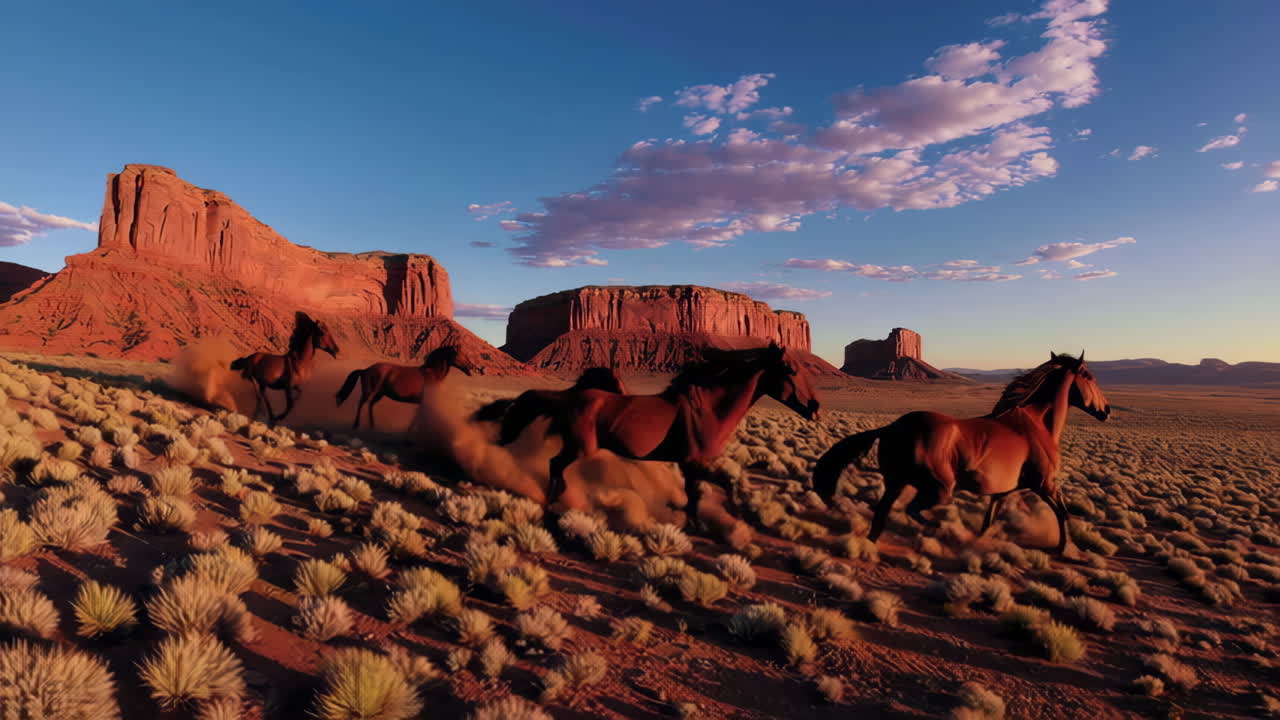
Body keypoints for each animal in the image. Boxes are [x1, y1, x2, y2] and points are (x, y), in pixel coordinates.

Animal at [335, 345, 472, 430]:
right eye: (458, 354)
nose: (470, 368)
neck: (431, 374)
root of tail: (365, 370)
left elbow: (417, 418)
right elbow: (416, 419)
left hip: (380, 394)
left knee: (370, 405)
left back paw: (372, 426)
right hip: (369, 391)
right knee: (362, 403)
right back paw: (356, 425)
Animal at [497, 342, 821, 515]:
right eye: (791, 370)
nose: (815, 408)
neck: (710, 410)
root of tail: (570, 396)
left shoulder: (694, 464)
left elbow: (713, 489)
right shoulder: (693, 462)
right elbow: (706, 491)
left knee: (556, 467)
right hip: (580, 448)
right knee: (555, 465)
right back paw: (553, 503)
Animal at [811, 351, 1110, 553]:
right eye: (1090, 377)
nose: (1106, 411)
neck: (1037, 425)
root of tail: (893, 427)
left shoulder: (1003, 491)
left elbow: (989, 520)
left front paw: (978, 540)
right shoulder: (1045, 484)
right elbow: (1062, 513)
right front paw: (1063, 548)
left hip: (896, 482)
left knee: (882, 514)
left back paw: (872, 544)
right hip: (940, 488)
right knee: (913, 510)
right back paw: (943, 530)